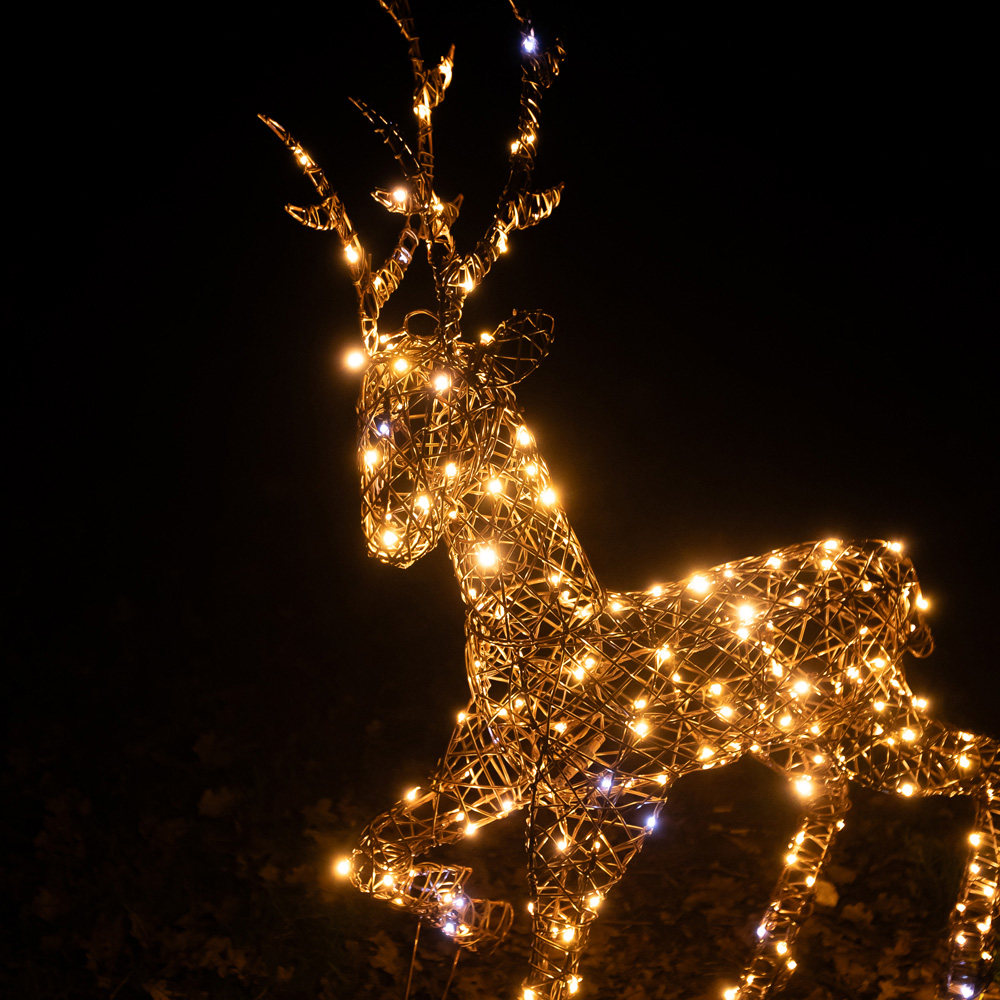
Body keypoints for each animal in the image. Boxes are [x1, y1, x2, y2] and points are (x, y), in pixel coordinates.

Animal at [260, 2, 999, 997]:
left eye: (454, 409)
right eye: (366, 410)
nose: (391, 532)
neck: (548, 635)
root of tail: (898, 570)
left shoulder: (610, 801)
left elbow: (556, 949)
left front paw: (487, 919)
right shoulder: (491, 766)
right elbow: (371, 849)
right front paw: (472, 912)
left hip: (866, 709)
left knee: (975, 765)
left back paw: (962, 955)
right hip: (815, 725)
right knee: (844, 794)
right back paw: (769, 971)